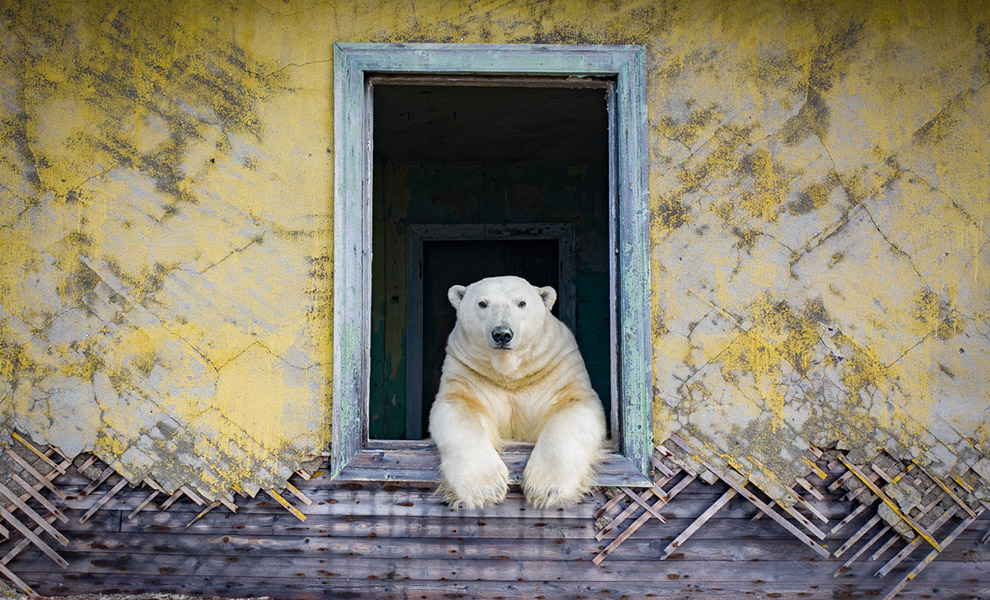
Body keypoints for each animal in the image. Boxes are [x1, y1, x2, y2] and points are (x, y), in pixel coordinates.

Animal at [430, 276, 608, 506]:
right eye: (482, 303)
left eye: (521, 303)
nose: (502, 334)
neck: (511, 374)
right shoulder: (467, 372)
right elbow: (458, 410)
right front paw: (486, 489)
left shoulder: (557, 368)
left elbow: (572, 408)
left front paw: (546, 488)